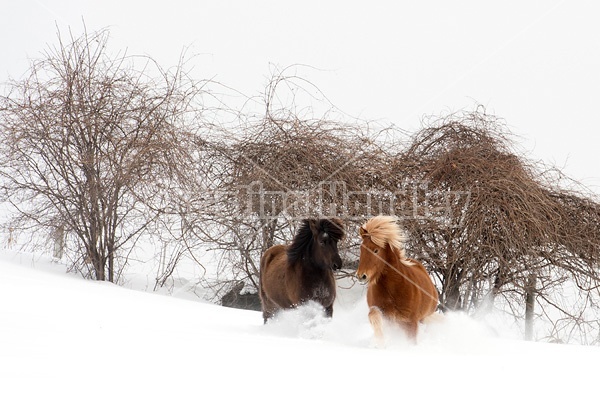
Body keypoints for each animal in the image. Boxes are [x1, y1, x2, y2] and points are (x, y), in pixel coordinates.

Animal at [356, 216, 436, 344]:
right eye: (361, 249)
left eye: (376, 250)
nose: (361, 276)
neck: (393, 289)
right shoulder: (383, 313)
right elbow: (374, 316)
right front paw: (380, 342)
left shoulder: (410, 322)